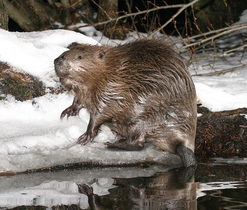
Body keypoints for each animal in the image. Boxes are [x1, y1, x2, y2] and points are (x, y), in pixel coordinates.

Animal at [54, 39, 197, 167]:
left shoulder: (110, 90)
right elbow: (78, 101)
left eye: (80, 56)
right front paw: (67, 112)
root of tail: (185, 144)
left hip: (145, 119)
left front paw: (86, 136)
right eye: (64, 52)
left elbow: (100, 112)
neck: (110, 71)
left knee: (138, 143)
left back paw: (112, 144)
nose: (58, 60)